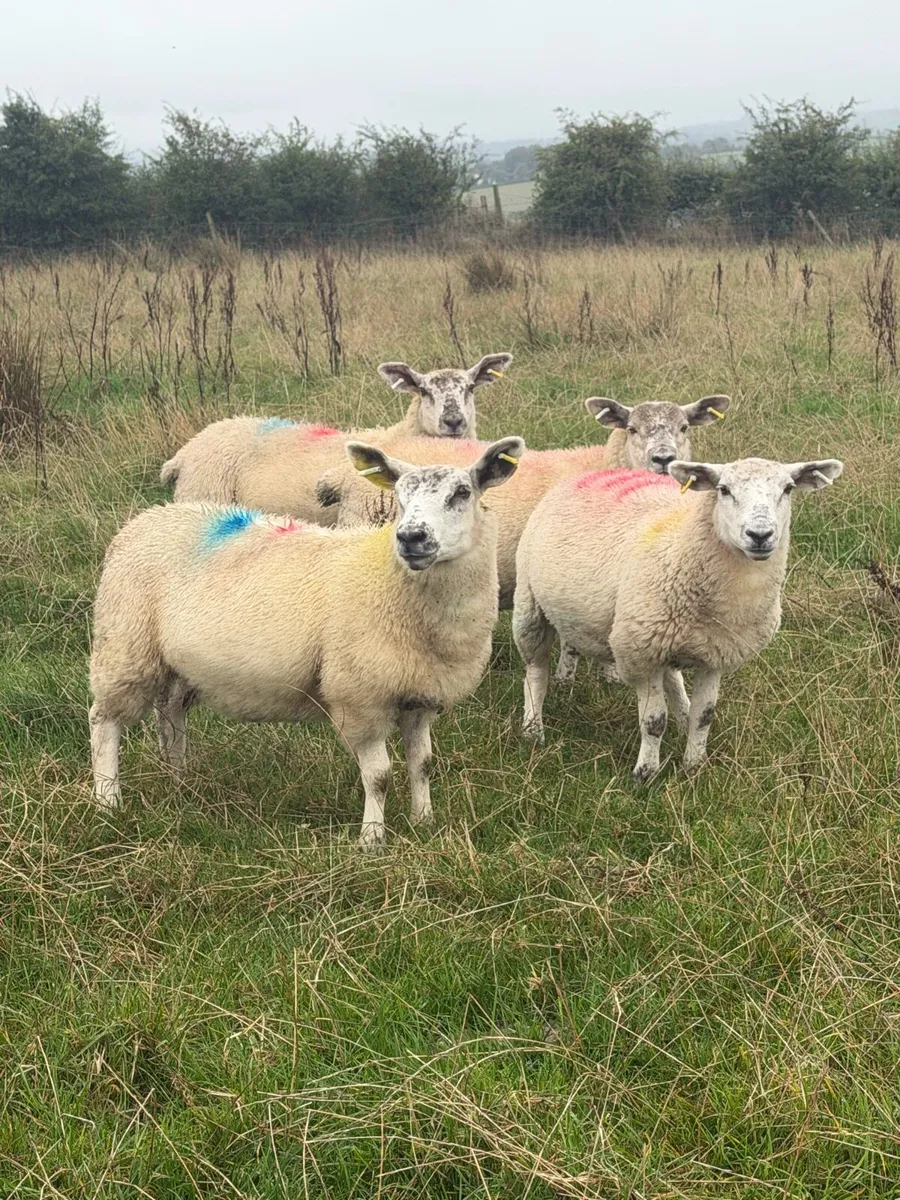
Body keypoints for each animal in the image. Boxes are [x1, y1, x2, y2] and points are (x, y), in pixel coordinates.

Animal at [89, 436, 525, 848]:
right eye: (399, 498)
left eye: (462, 493)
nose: (411, 537)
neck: (388, 579)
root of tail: (145, 520)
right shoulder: (359, 697)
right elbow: (379, 776)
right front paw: (372, 839)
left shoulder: (420, 695)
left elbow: (424, 764)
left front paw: (424, 822)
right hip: (125, 644)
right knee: (104, 720)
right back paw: (107, 801)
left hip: (174, 663)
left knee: (171, 715)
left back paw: (178, 779)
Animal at [159, 353, 513, 526]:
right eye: (424, 391)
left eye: (470, 387)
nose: (453, 421)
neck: (403, 432)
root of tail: (186, 450)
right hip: (203, 494)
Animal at [512, 455, 843, 781]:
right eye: (723, 490)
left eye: (788, 489)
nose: (760, 535)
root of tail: (595, 472)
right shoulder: (641, 653)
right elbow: (654, 720)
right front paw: (646, 774)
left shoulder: (715, 654)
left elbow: (704, 717)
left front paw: (695, 766)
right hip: (529, 605)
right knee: (535, 671)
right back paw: (532, 728)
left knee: (672, 677)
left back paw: (682, 714)